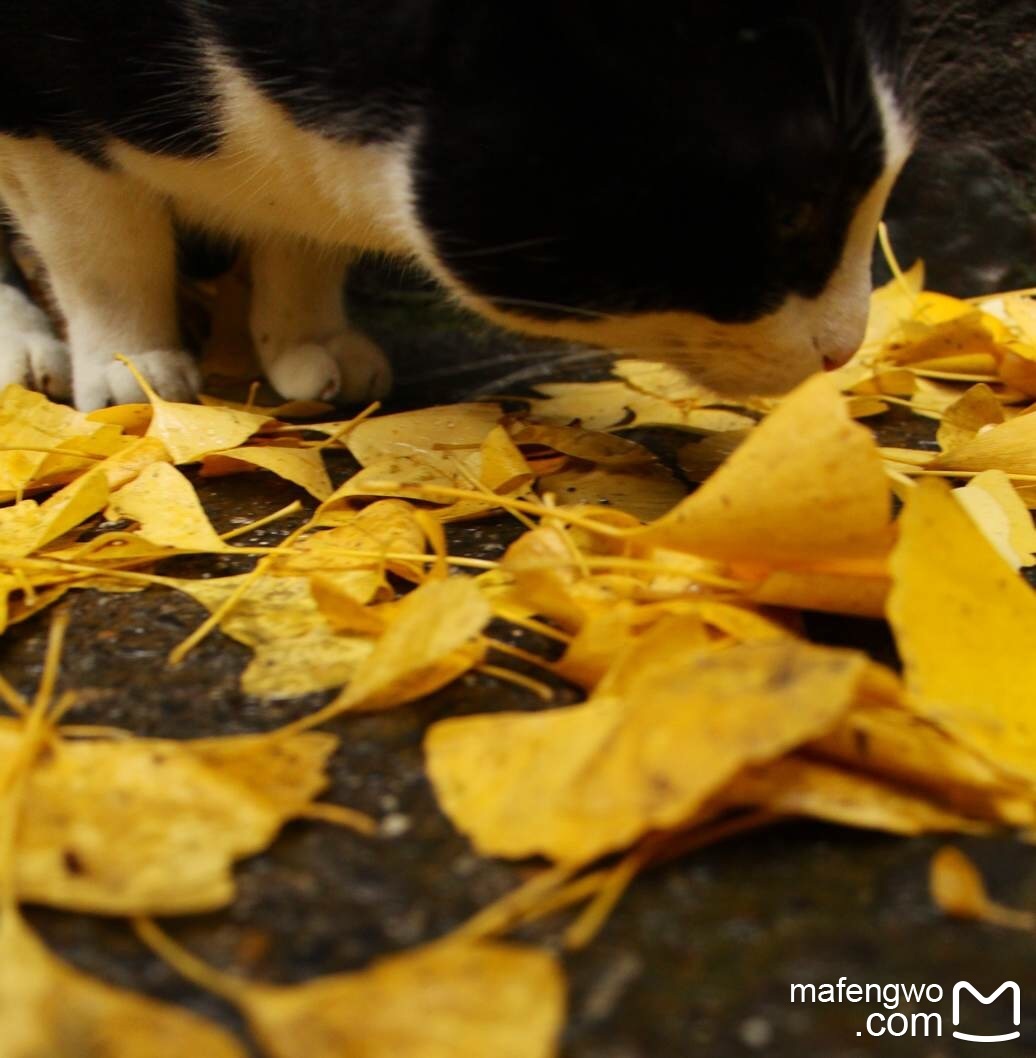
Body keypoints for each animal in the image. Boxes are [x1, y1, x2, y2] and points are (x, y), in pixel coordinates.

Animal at [0, 1, 905, 408]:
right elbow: (102, 247)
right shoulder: (39, 116)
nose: (847, 345)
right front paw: (132, 367)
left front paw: (307, 343)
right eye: (794, 214)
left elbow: (301, 238)